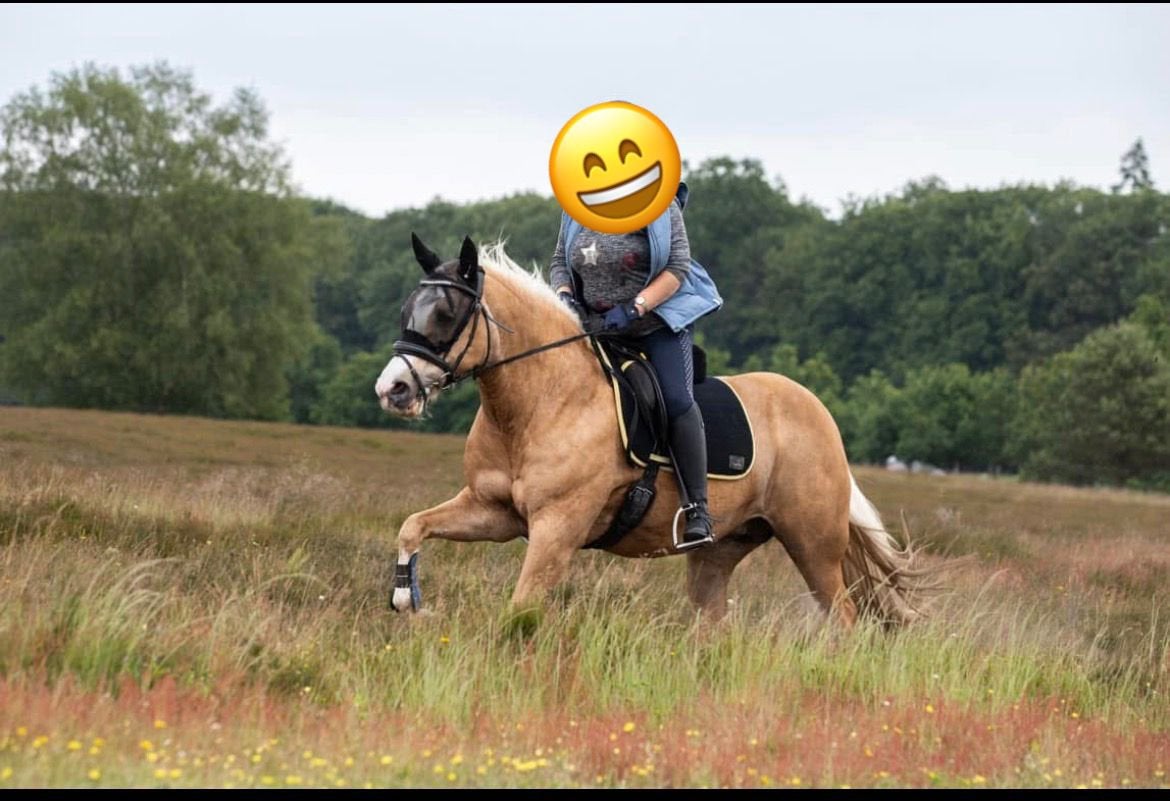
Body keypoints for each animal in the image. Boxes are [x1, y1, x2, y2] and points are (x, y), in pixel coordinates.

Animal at [374, 234, 934, 626]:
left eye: (447, 313)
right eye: (405, 310)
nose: (392, 389)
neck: (539, 405)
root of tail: (820, 415)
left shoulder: (558, 526)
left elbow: (521, 611)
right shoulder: (494, 512)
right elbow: (412, 526)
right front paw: (408, 599)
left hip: (813, 543)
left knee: (843, 617)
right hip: (720, 552)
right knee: (715, 622)